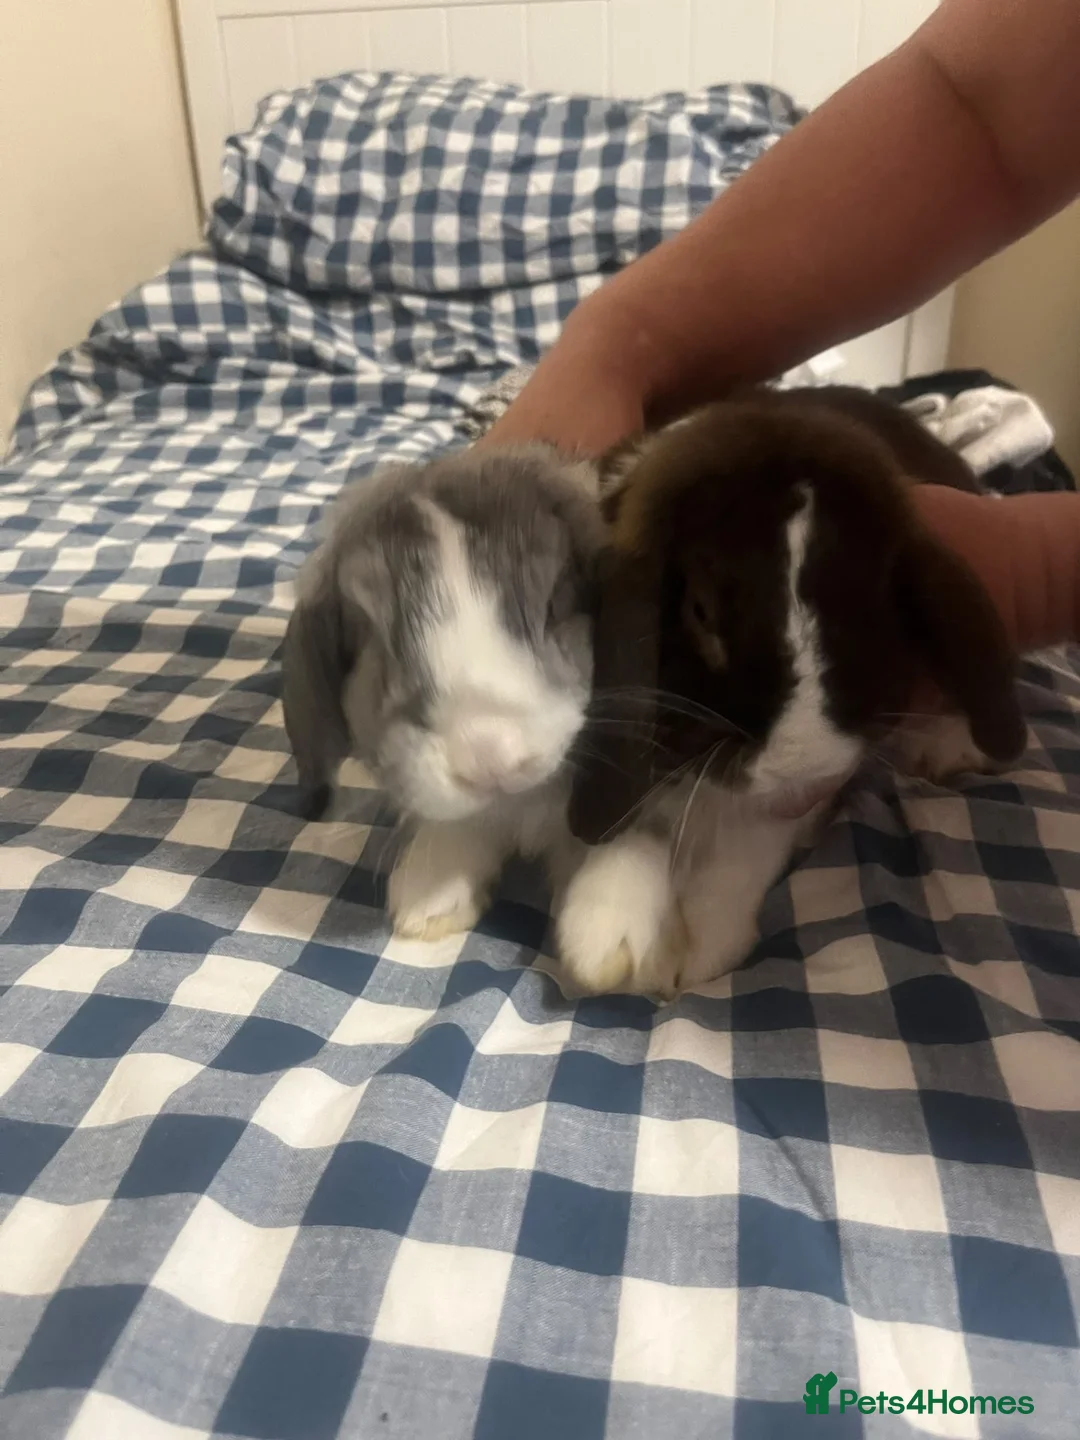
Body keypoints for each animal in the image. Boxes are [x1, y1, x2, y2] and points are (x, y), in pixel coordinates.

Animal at [558, 385, 1028, 998]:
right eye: (701, 611)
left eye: (872, 609)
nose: (801, 764)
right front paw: (608, 943)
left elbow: (743, 852)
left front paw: (702, 955)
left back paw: (946, 746)